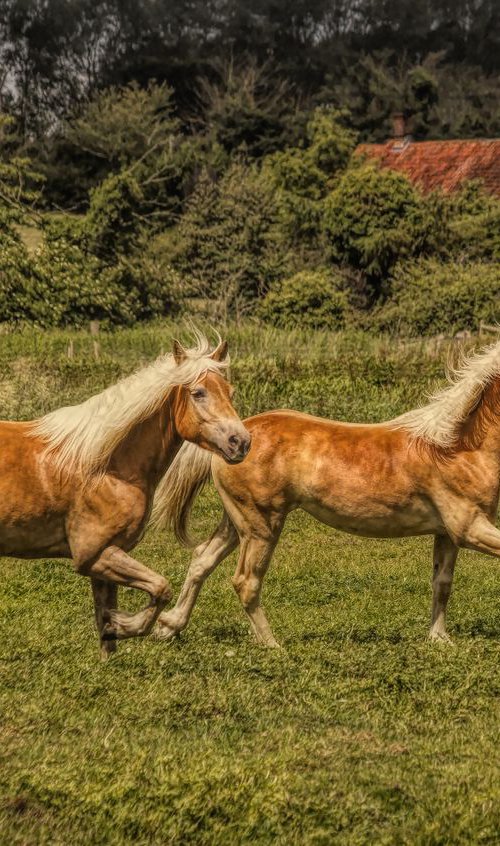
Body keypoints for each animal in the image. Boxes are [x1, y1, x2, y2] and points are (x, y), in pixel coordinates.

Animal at [0, 334, 250, 660]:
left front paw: (112, 638)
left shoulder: (105, 560)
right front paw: (129, 626)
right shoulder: (94, 556)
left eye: (230, 392)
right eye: (198, 393)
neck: (105, 467)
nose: (241, 442)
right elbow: (161, 588)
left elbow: (105, 622)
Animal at [153, 338, 500, 648]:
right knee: (245, 582)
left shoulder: (447, 534)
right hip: (261, 525)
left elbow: (442, 584)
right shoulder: (470, 528)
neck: (456, 447)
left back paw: (168, 626)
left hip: (238, 522)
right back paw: (271, 645)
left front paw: (439, 639)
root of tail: (236, 438)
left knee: (202, 560)